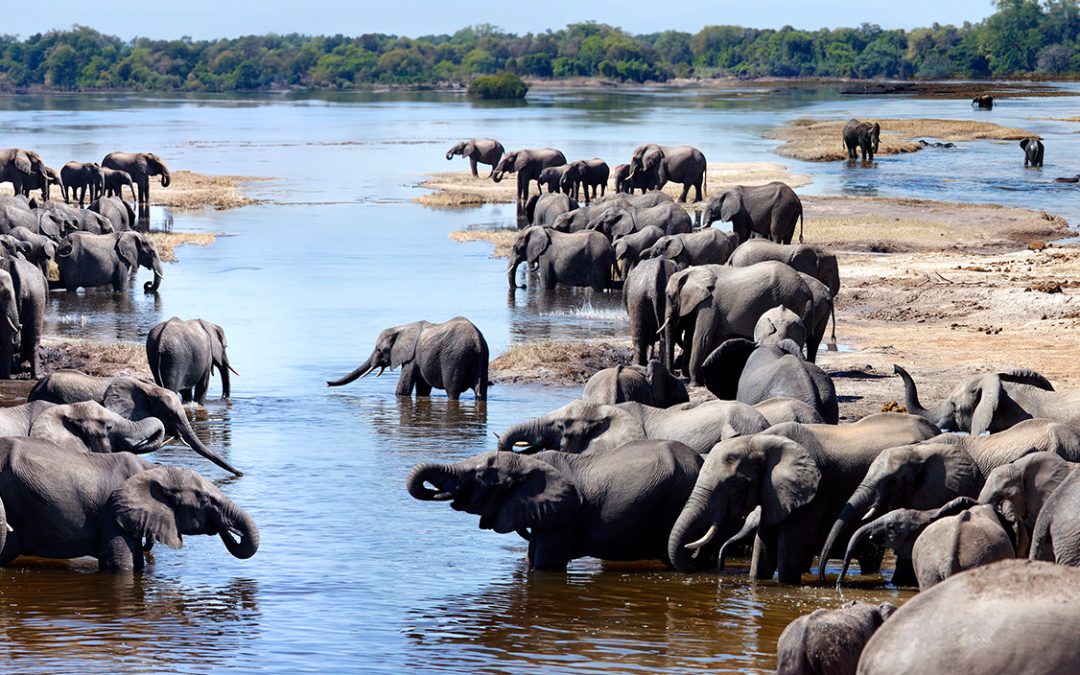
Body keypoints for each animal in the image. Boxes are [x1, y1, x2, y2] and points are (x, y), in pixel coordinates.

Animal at [327, 317, 488, 400]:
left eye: (379, 350)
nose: (327, 384)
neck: (400, 328)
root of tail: (477, 341)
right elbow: (423, 389)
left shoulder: (412, 357)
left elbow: (403, 390)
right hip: (481, 358)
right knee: (481, 392)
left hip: (455, 360)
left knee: (452, 392)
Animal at [663, 262, 814, 386]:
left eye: (669, 296)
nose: (675, 374)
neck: (694, 271)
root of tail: (806, 287)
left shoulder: (710, 304)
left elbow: (703, 337)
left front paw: (694, 384)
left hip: (789, 297)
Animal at [667, 412, 939, 580]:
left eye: (732, 487)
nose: (695, 558)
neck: (758, 440)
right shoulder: (774, 492)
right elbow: (763, 549)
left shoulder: (814, 493)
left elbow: (790, 550)